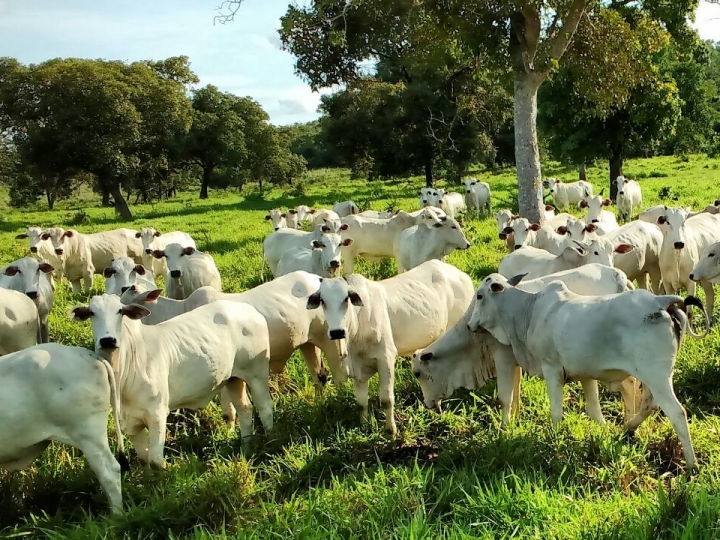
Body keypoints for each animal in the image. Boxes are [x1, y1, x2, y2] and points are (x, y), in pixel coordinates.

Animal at [70, 296, 272, 464]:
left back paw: (271, 438)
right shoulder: (130, 423)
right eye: (91, 313)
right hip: (234, 379)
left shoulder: (157, 414)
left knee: (265, 408)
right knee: (245, 410)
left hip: (257, 374)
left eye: (120, 311)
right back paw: (246, 446)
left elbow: (155, 461)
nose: (108, 340)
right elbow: (144, 459)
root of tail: (248, 309)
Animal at [302, 260, 476, 436]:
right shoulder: (356, 368)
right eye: (322, 301)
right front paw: (364, 426)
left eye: (346, 299)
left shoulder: (386, 359)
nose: (337, 332)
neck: (357, 325)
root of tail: (461, 275)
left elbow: (387, 399)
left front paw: (391, 430)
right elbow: (361, 403)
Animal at [466, 274, 708, 468]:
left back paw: (691, 464)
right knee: (649, 405)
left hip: (657, 376)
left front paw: (554, 440)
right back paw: (626, 428)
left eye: (479, 296)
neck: (528, 311)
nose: (469, 325)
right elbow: (594, 409)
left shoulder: (551, 368)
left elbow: (557, 412)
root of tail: (661, 300)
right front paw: (605, 431)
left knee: (677, 413)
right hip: (654, 377)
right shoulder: (585, 374)